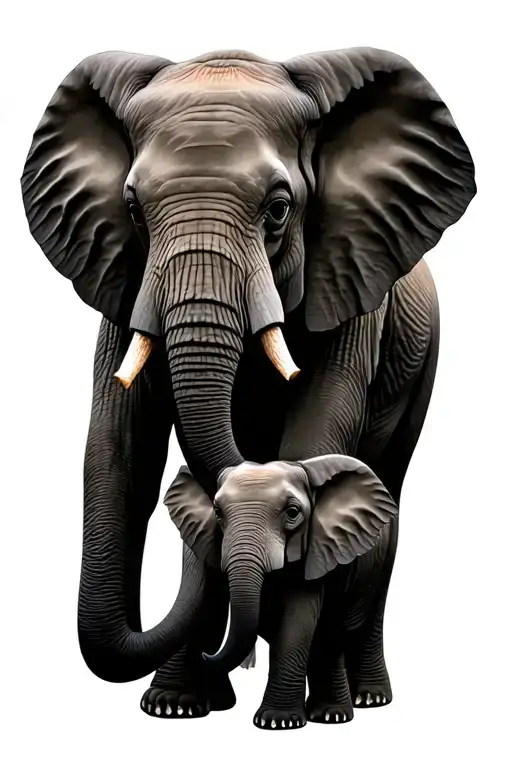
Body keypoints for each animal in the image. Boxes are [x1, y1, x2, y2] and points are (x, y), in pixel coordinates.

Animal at [20, 47, 475, 687]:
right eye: (132, 209)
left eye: (279, 209)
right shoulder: (122, 279)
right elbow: (119, 447)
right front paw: (174, 704)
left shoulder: (352, 281)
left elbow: (318, 425)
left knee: (389, 489)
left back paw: (366, 699)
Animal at [161, 455, 399, 729]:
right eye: (217, 512)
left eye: (293, 513)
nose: (205, 655)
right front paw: (170, 706)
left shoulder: (315, 550)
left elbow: (297, 619)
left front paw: (277, 721)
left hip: (385, 552)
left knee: (359, 621)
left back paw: (354, 706)